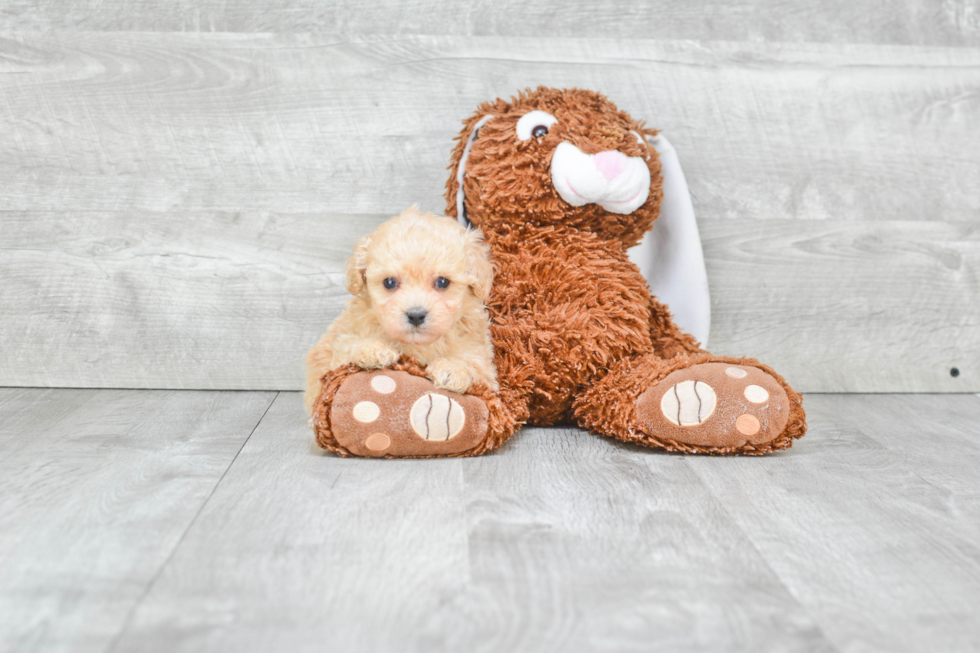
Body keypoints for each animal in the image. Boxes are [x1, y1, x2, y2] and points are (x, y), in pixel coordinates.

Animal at [306, 208, 498, 412]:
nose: (416, 315)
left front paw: (451, 369)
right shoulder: (341, 344)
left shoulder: (484, 365)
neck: (417, 344)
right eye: (389, 282)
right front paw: (374, 350)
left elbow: (473, 367)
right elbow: (348, 347)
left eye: (442, 282)